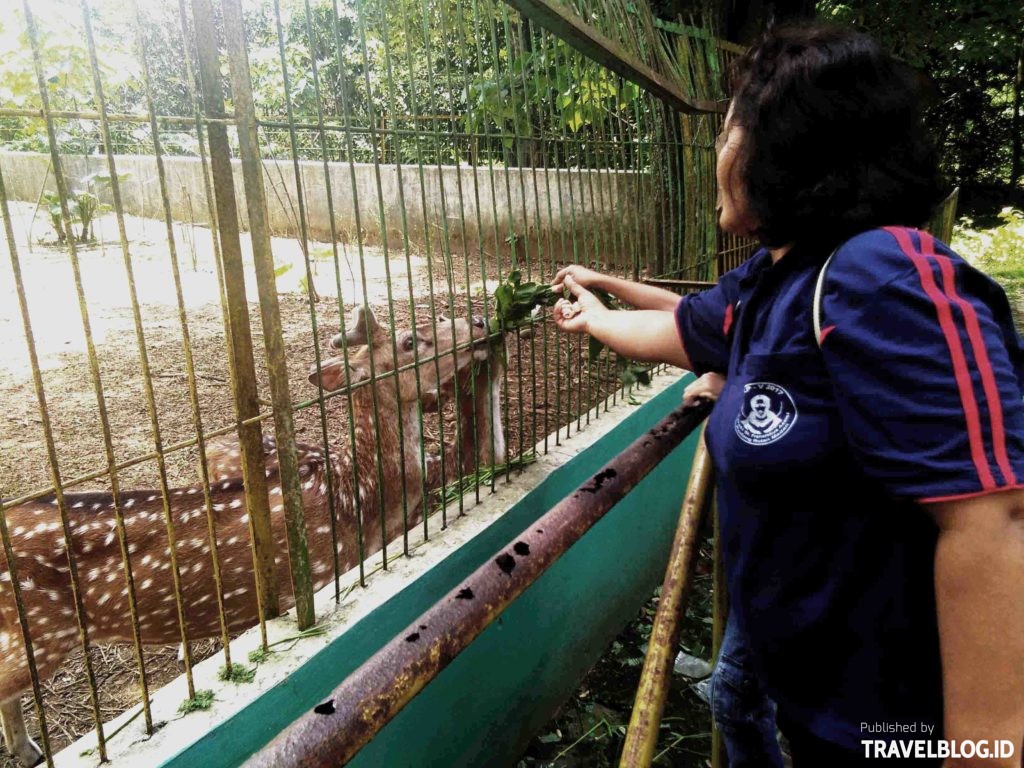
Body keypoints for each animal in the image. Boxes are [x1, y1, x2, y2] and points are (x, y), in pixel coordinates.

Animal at [0, 305, 503, 765]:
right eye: (409, 342)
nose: (480, 321)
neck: (354, 498)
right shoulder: (318, 579)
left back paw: (31, 749)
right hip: (34, 637)